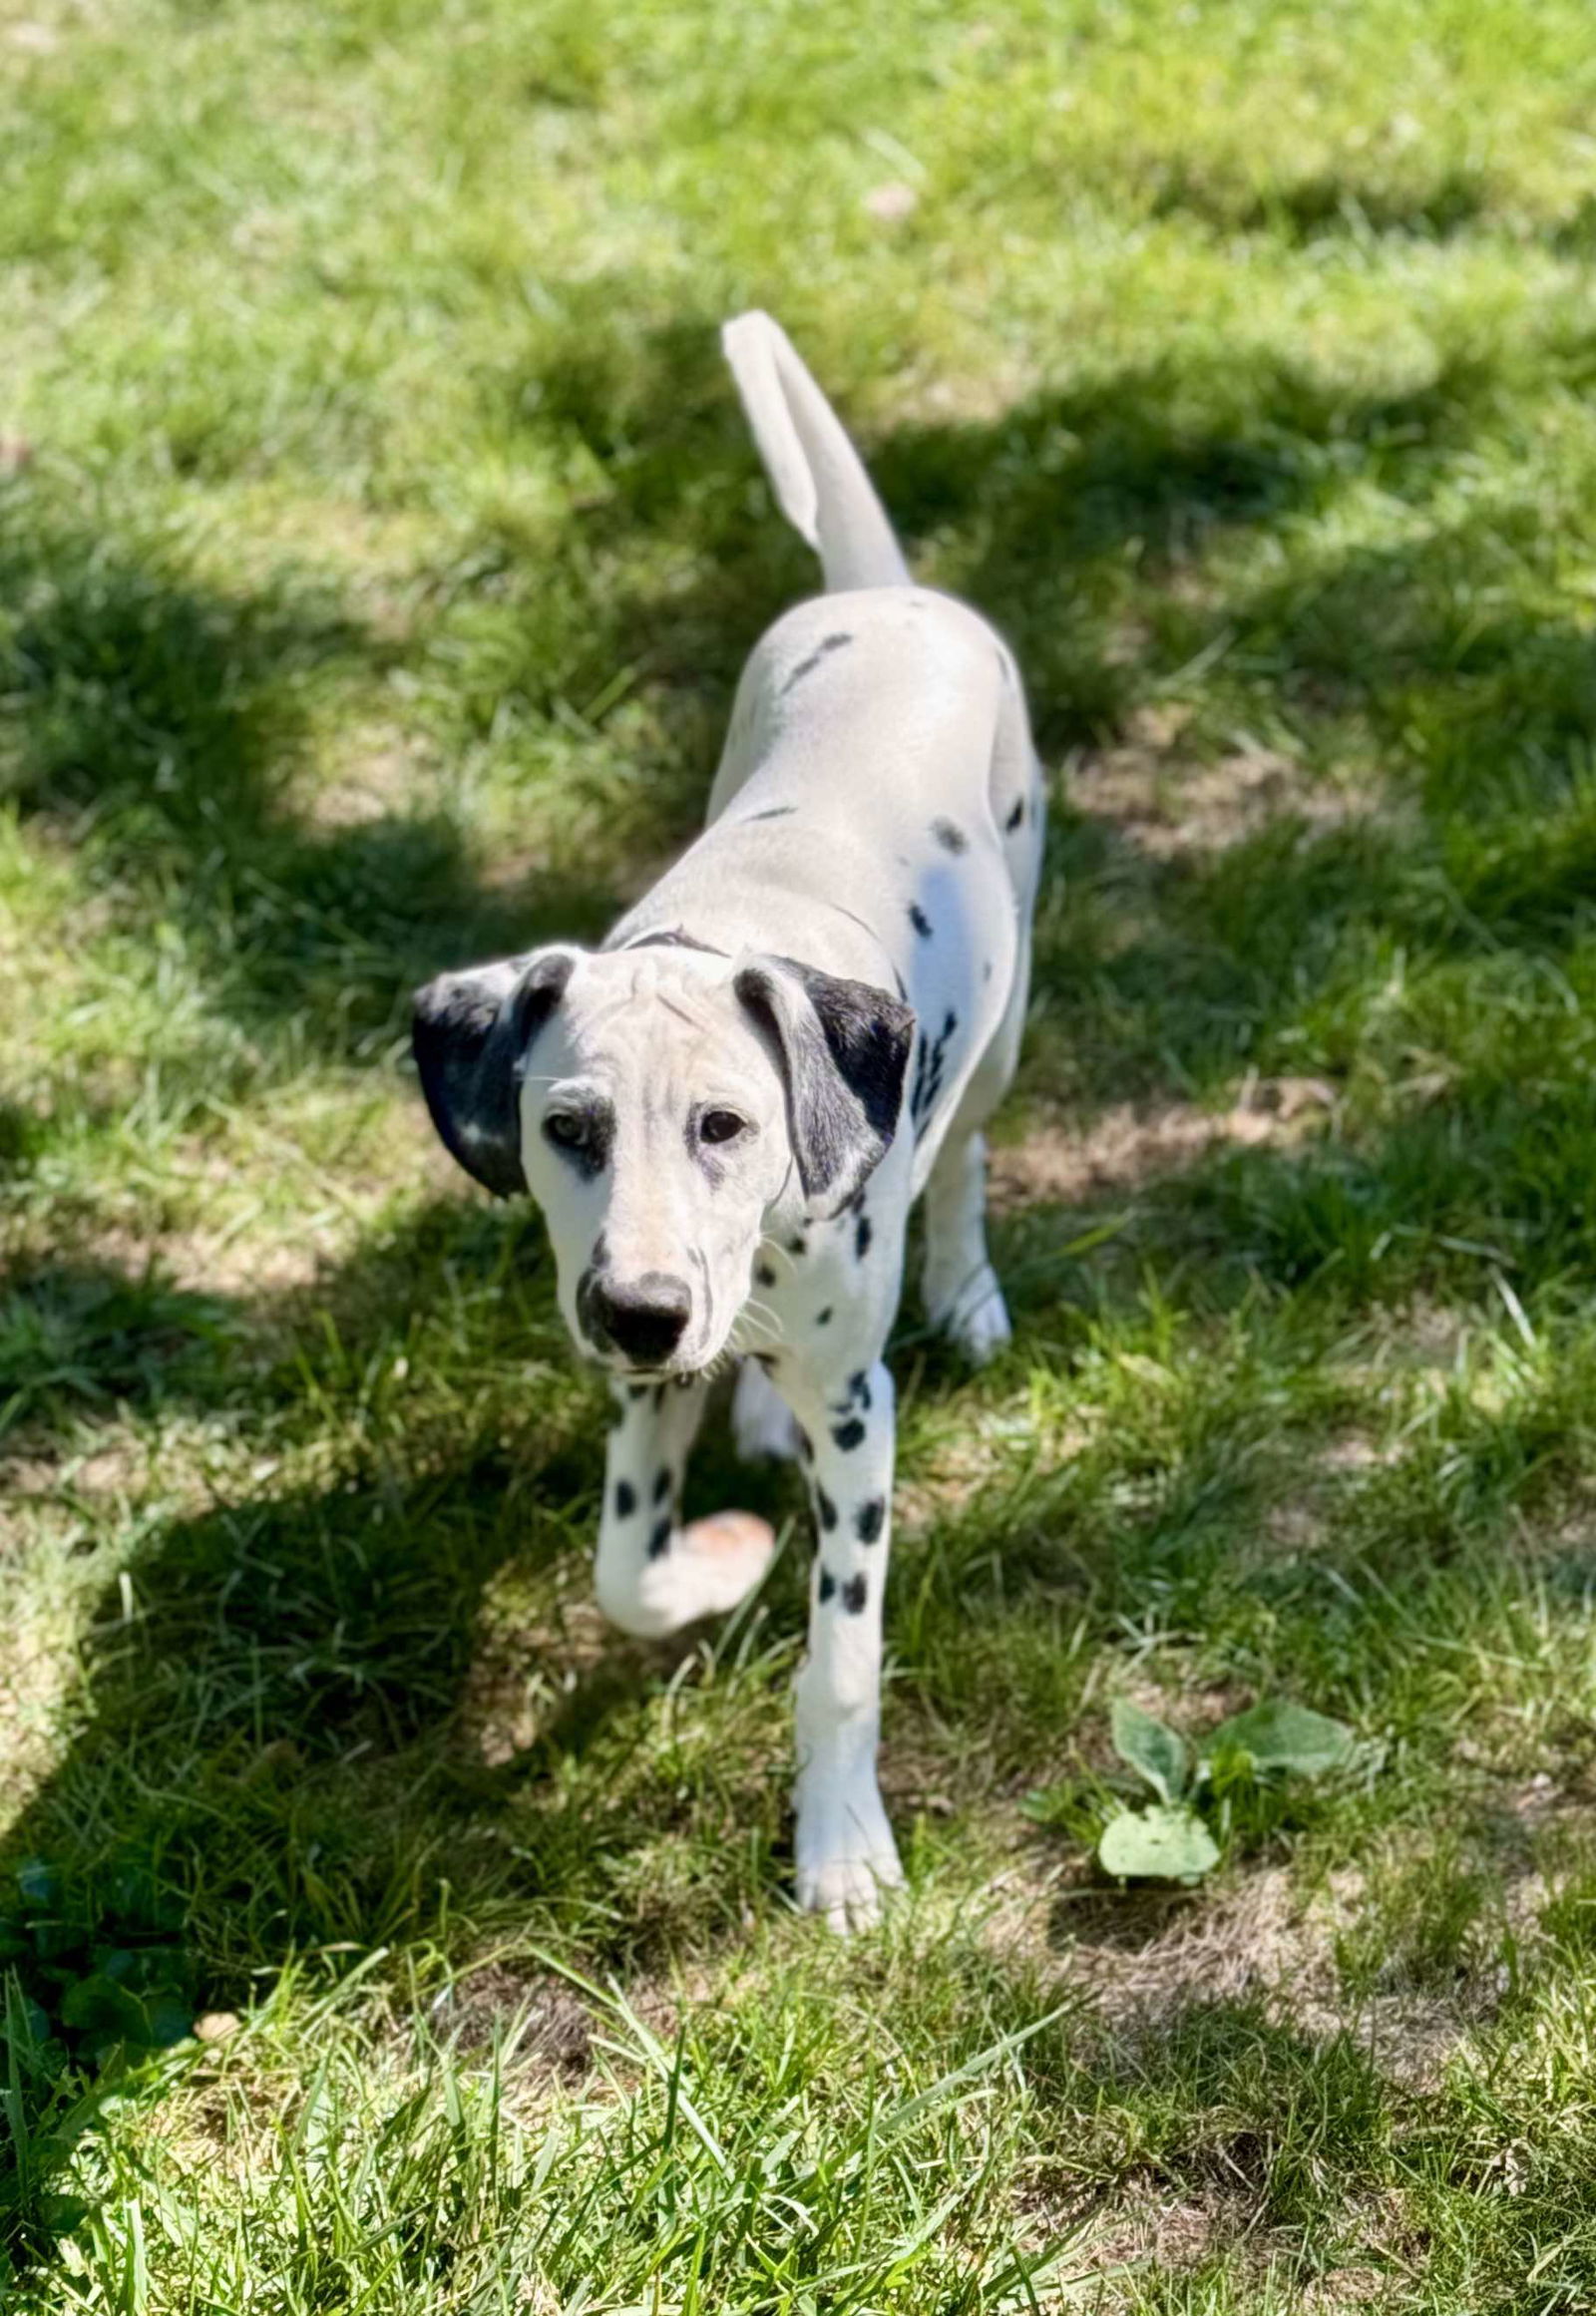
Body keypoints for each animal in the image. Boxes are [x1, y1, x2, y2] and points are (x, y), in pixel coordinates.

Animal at [410, 312, 1046, 1936]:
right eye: (567, 1127)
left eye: (726, 1126)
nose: (640, 1308)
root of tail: (878, 590)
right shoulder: (640, 1392)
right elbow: (624, 1568)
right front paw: (714, 1562)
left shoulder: (861, 1422)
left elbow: (840, 1663)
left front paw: (839, 1848)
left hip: (1004, 1026)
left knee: (967, 1155)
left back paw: (965, 1287)